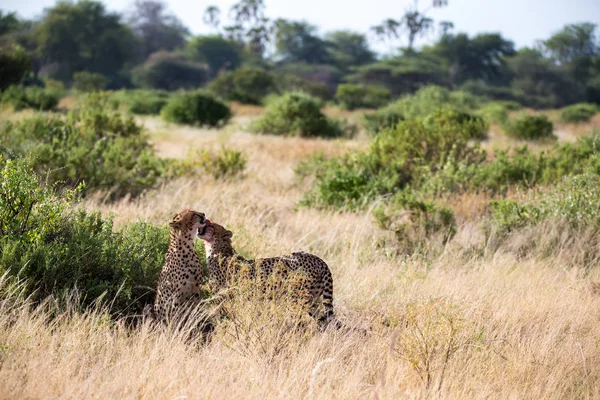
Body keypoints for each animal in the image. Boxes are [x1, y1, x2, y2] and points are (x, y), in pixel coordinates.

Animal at [198, 220, 336, 326]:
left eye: (212, 225)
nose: (205, 221)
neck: (217, 249)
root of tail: (318, 259)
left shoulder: (223, 293)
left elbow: (217, 308)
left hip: (299, 299)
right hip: (313, 300)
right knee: (326, 322)